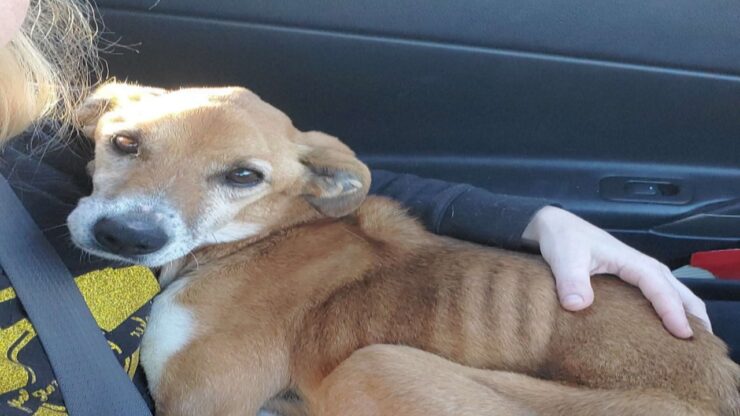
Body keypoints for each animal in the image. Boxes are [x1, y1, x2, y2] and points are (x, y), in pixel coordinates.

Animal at [66, 83, 736, 414]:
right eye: (124, 142)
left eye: (243, 176)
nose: (125, 236)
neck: (259, 237)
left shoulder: (205, 405)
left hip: (376, 365)